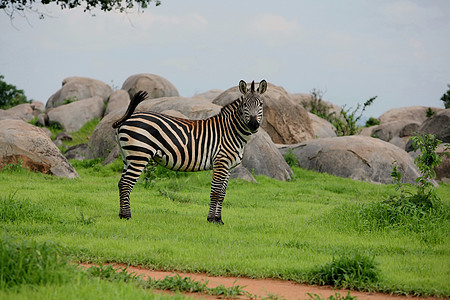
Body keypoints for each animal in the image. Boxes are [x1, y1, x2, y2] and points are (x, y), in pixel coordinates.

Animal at [112, 78, 268, 224]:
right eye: (245, 105)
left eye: (261, 104)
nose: (253, 125)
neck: (231, 131)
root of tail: (126, 119)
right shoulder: (221, 163)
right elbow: (216, 192)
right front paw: (212, 220)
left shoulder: (228, 167)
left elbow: (223, 194)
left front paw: (219, 220)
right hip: (139, 155)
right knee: (126, 184)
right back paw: (127, 216)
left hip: (128, 157)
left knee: (121, 183)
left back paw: (121, 215)